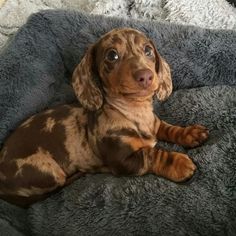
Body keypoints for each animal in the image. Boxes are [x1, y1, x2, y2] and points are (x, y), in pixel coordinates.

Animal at [0, 28, 208, 206]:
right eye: (112, 55)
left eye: (148, 50)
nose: (146, 76)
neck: (133, 111)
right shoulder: (124, 161)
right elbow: (151, 154)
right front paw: (178, 162)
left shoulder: (155, 124)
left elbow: (169, 129)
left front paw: (191, 133)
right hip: (50, 171)